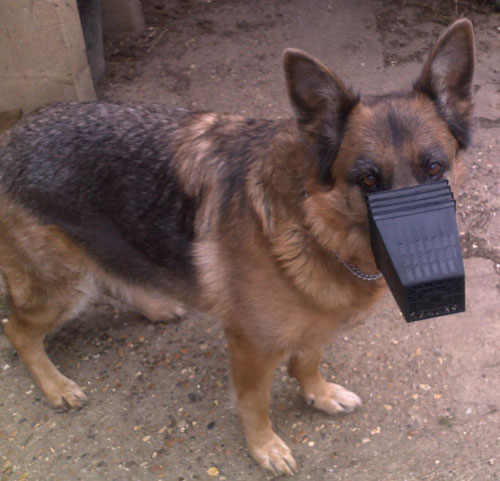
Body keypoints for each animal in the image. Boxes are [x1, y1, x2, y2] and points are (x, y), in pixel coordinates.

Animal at [0, 19, 472, 476]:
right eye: (368, 179)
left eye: (434, 168)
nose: (434, 290)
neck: (310, 220)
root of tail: (10, 138)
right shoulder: (252, 346)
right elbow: (254, 402)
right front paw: (264, 447)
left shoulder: (315, 318)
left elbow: (306, 362)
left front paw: (318, 394)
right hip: (60, 288)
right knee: (19, 330)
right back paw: (55, 385)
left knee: (113, 276)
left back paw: (154, 305)